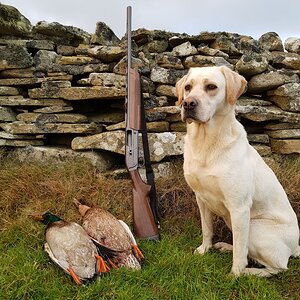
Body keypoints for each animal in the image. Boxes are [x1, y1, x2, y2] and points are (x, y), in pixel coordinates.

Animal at [177, 66, 298, 276]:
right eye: (187, 87)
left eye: (211, 87)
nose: (188, 103)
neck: (206, 144)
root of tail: (296, 247)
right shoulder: (201, 198)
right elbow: (207, 229)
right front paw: (204, 249)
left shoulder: (239, 207)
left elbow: (241, 252)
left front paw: (235, 274)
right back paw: (226, 246)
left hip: (254, 226)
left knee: (277, 267)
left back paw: (249, 272)